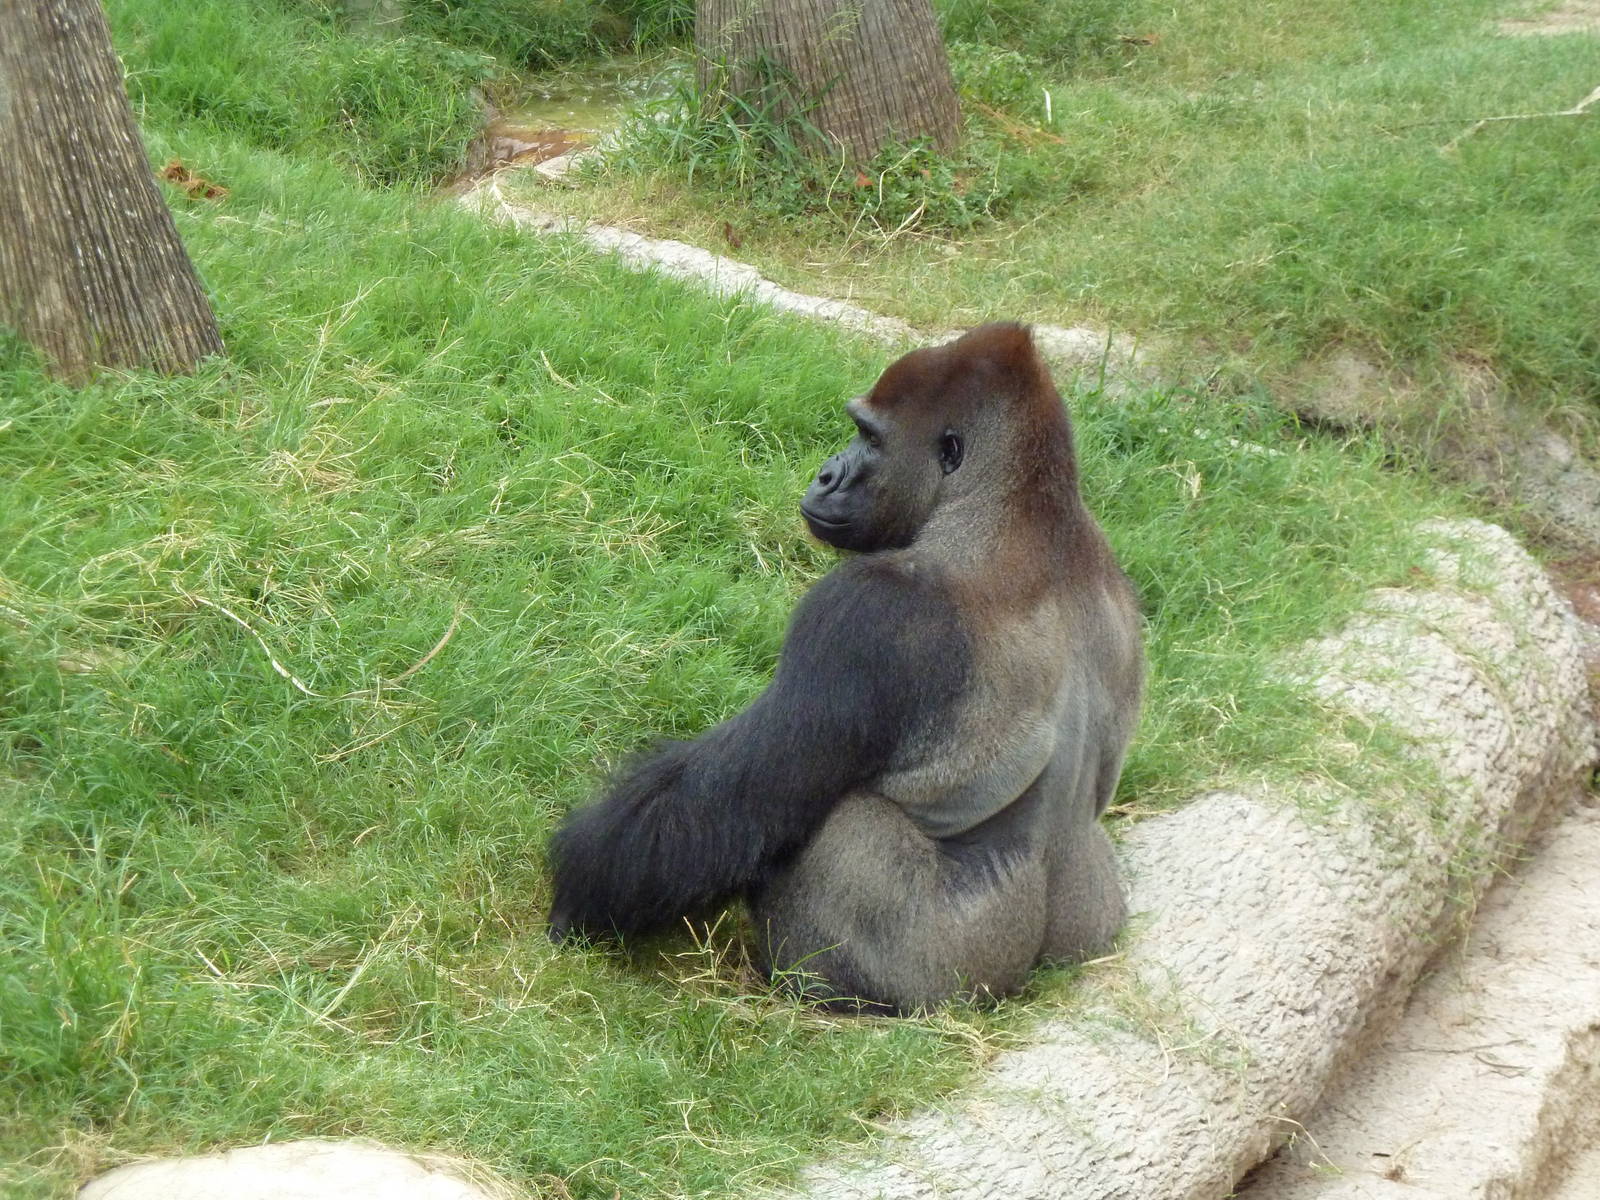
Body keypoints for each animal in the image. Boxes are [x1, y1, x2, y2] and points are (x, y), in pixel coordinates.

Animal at [547, 322, 1143, 1014]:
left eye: (870, 437)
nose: (827, 474)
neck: (1019, 509)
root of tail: (1020, 986)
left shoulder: (864, 611)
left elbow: (730, 802)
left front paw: (579, 895)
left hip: (940, 983)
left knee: (838, 822)